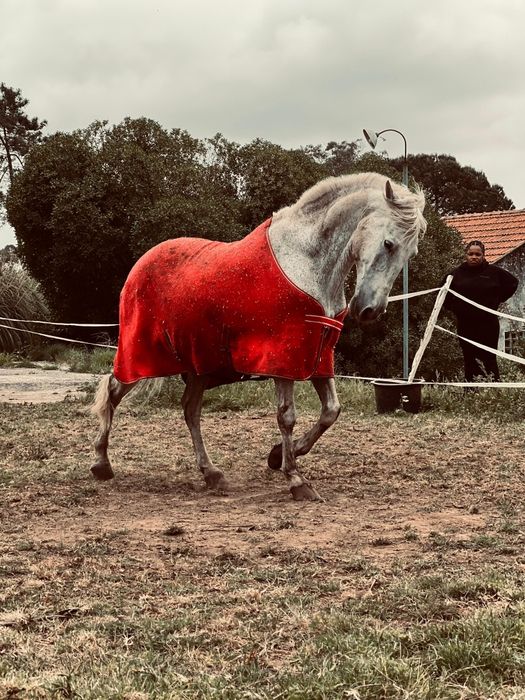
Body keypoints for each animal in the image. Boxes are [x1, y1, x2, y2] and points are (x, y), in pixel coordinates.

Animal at [91, 172, 426, 501]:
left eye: (411, 253)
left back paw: (212, 474)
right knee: (113, 389)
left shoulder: (318, 357)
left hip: (199, 366)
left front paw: (279, 456)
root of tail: (139, 266)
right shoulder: (283, 360)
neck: (308, 263)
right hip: (141, 355)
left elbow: (331, 411)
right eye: (388, 243)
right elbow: (287, 416)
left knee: (190, 410)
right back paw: (101, 463)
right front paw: (295, 479)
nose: (370, 310)